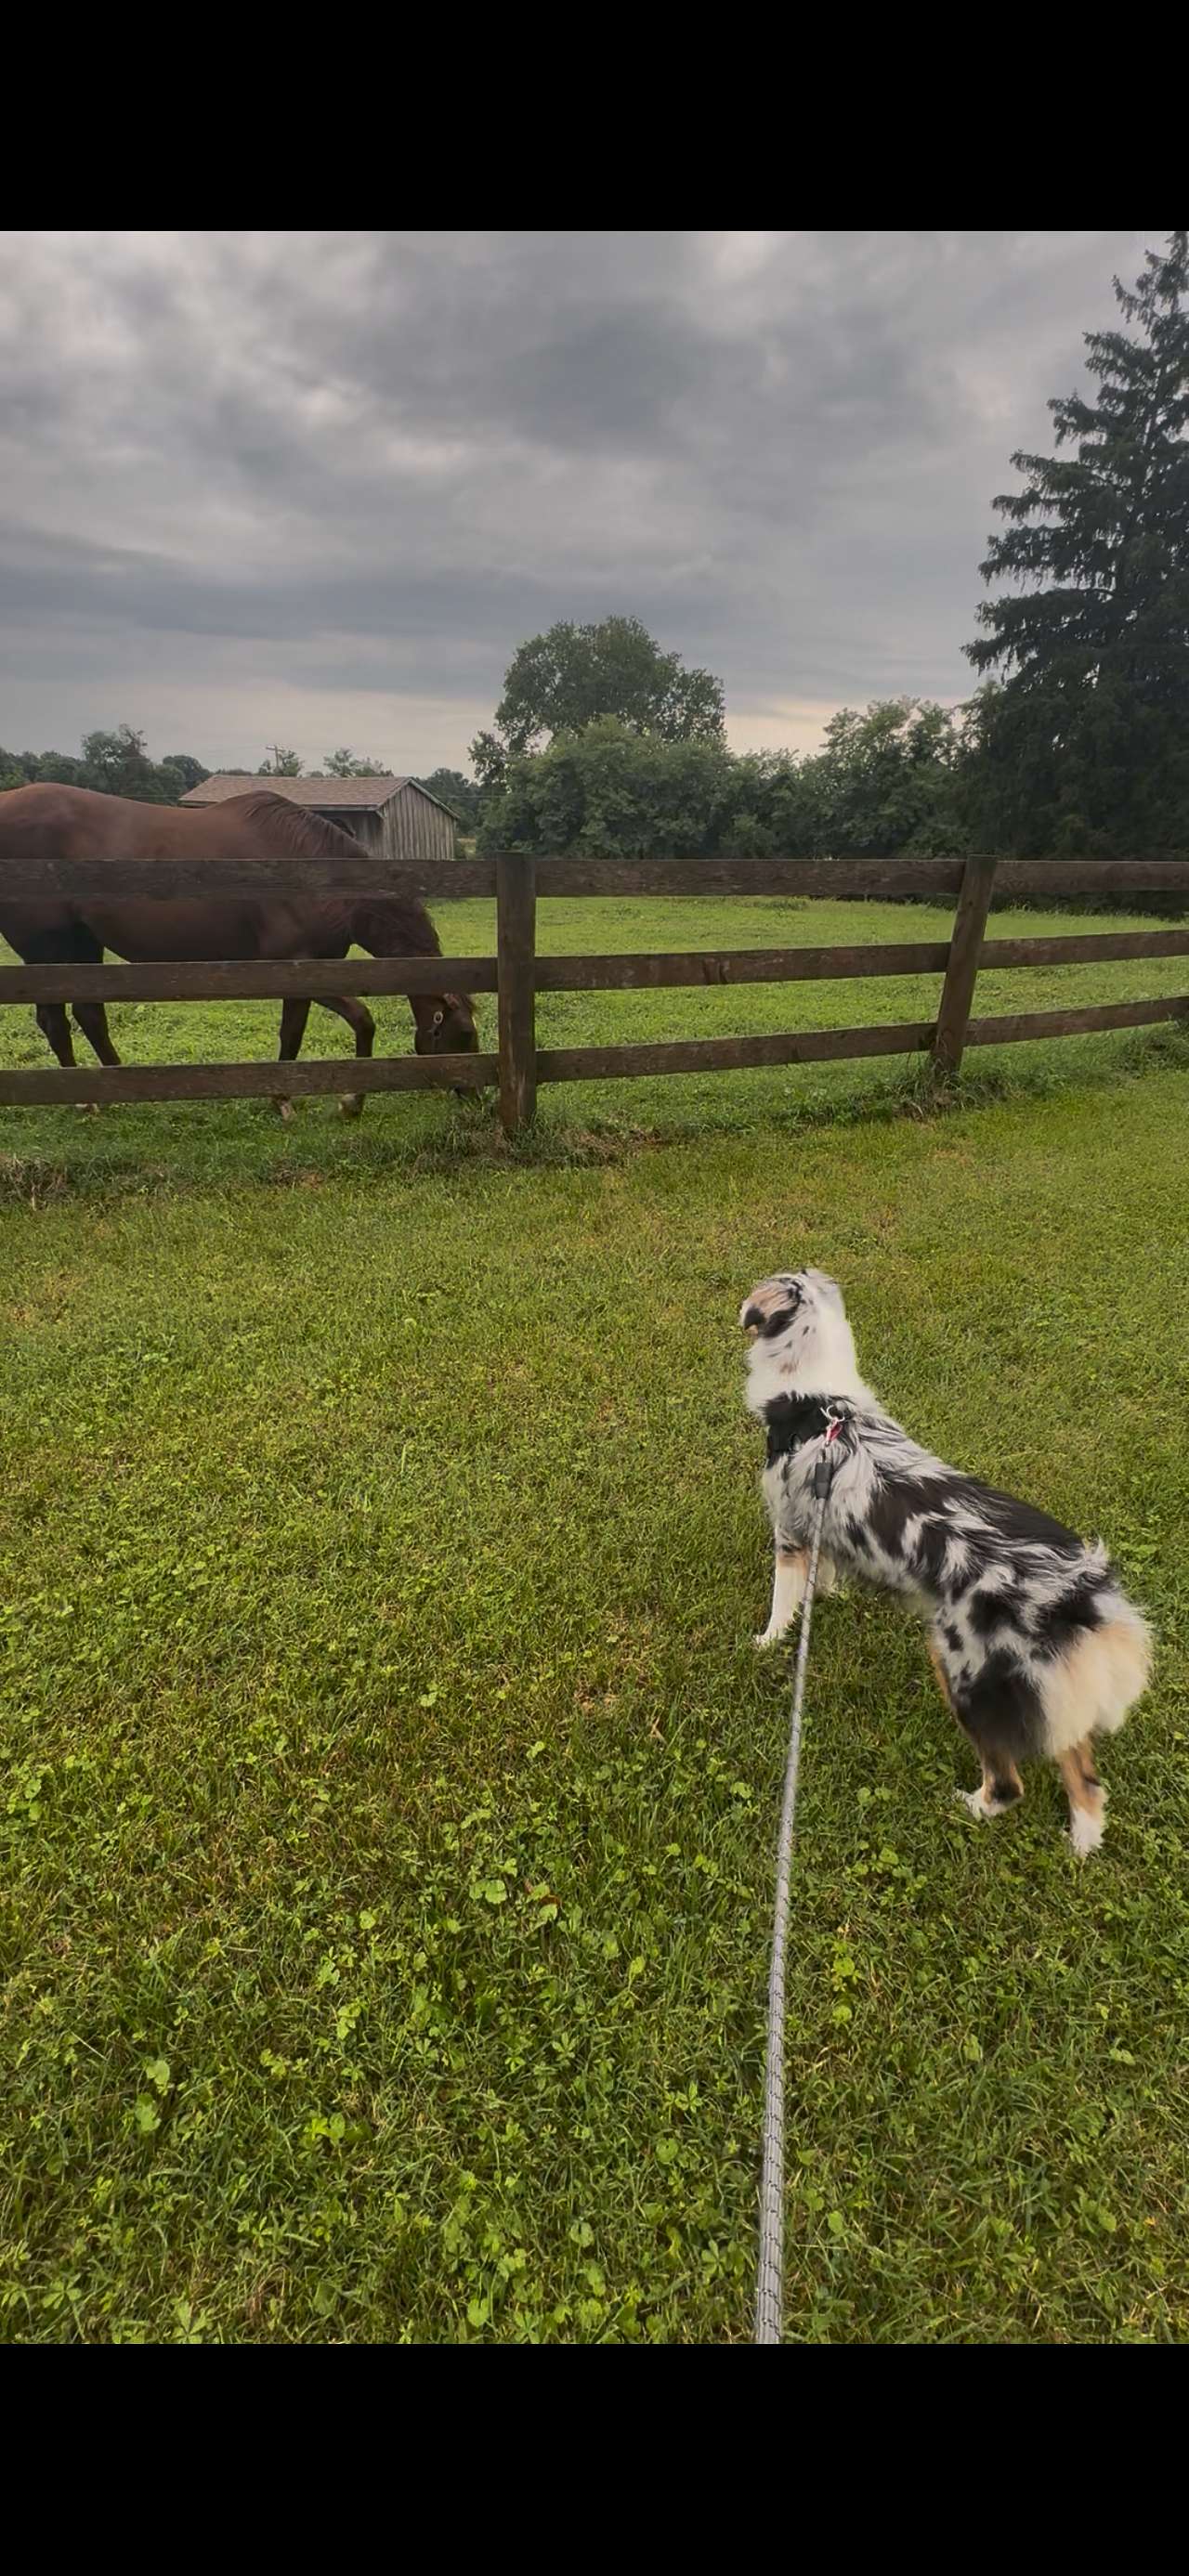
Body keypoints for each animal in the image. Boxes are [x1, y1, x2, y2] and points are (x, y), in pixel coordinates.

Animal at [0, 783, 478, 1115]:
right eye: (463, 1035)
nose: (473, 1095)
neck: (313, 877)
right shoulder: (297, 968)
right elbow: (360, 1020)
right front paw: (346, 1100)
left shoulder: (309, 973)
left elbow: (293, 1033)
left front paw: (283, 1097)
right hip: (48, 951)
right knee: (56, 1022)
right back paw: (85, 1101)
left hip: (82, 946)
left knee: (89, 1015)